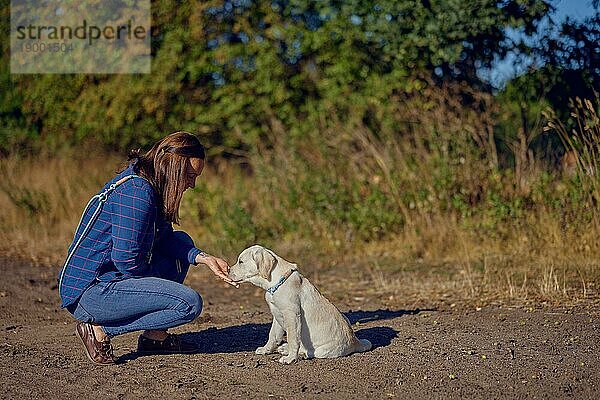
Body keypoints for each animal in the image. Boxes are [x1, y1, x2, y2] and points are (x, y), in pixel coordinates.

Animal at [229, 245, 370, 364]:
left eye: (240, 261)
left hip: (322, 350)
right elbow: (273, 335)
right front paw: (266, 350)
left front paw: (290, 358)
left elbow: (292, 338)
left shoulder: (291, 314)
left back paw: (297, 353)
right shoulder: (277, 314)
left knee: (310, 351)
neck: (275, 282)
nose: (228, 270)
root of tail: (355, 341)